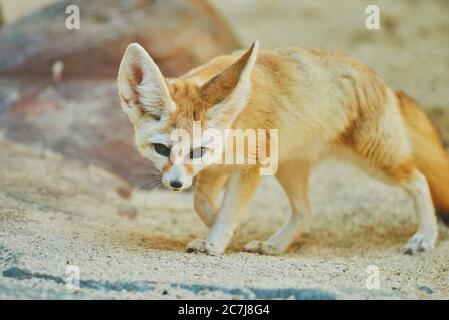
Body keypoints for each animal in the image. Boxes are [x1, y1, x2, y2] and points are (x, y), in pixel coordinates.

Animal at [118, 40, 448, 255]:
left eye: (196, 150)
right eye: (161, 149)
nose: (175, 184)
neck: (234, 124)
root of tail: (386, 85)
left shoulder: (246, 168)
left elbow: (228, 209)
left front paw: (215, 241)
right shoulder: (214, 170)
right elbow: (203, 204)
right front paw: (224, 230)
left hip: (377, 162)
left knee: (419, 180)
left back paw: (425, 236)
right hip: (290, 168)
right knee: (305, 211)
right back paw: (274, 245)